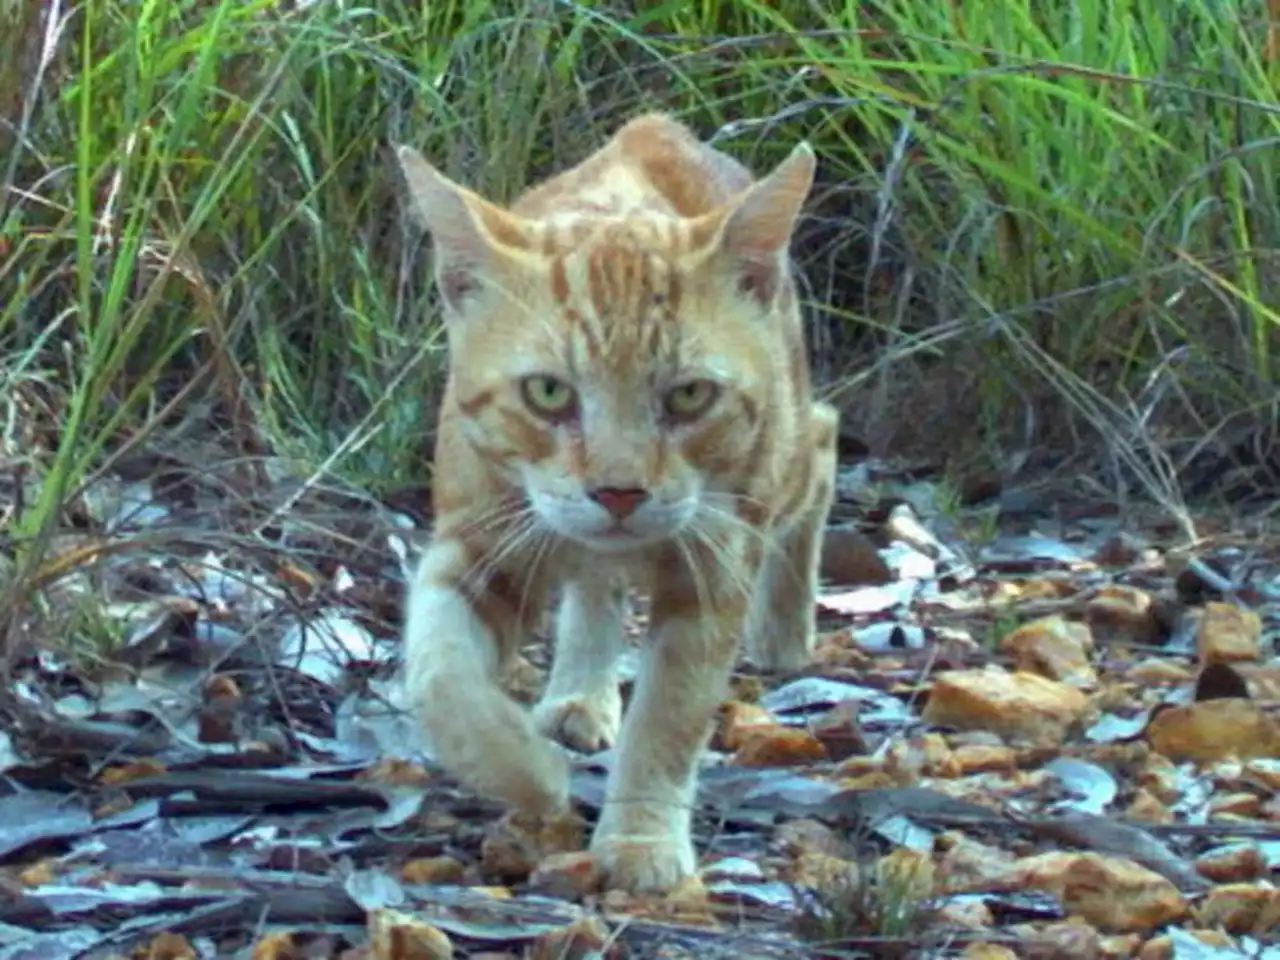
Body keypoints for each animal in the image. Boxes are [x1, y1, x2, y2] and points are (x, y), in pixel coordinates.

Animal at [394, 116, 844, 901]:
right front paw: (528, 772)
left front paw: (640, 835)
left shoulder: (714, 565)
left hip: (781, 457)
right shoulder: (476, 541)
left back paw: (785, 627)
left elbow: (670, 714)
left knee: (821, 437)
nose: (618, 491)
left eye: (689, 396)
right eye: (548, 392)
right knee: (595, 589)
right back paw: (580, 692)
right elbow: (440, 673)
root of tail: (654, 128)